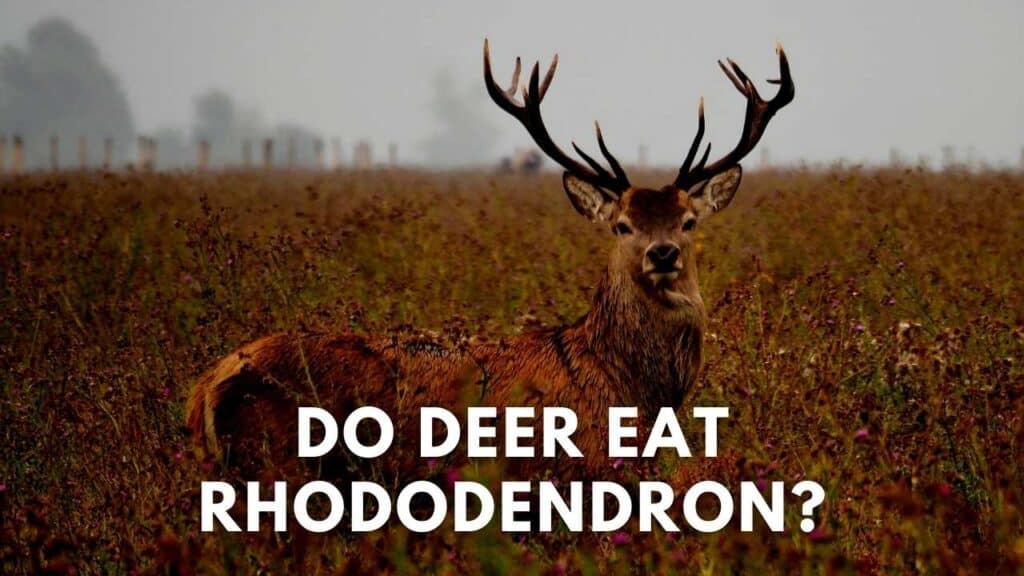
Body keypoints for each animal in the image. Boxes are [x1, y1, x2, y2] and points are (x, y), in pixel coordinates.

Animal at [186, 40, 793, 482]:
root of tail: (207, 388)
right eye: (622, 225)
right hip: (282, 467)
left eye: (689, 220)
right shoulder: (573, 474)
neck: (632, 394)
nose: (662, 253)